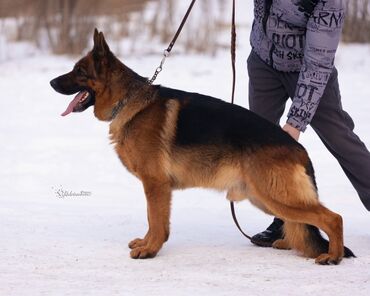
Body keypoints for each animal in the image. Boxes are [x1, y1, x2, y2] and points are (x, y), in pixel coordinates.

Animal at [50, 30, 354, 264]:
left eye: (79, 71)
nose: (51, 82)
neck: (129, 100)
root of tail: (298, 148)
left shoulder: (155, 184)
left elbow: (156, 221)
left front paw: (150, 250)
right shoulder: (154, 187)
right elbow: (152, 219)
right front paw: (146, 243)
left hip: (274, 196)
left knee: (333, 218)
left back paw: (333, 256)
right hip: (264, 198)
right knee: (304, 224)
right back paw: (291, 244)